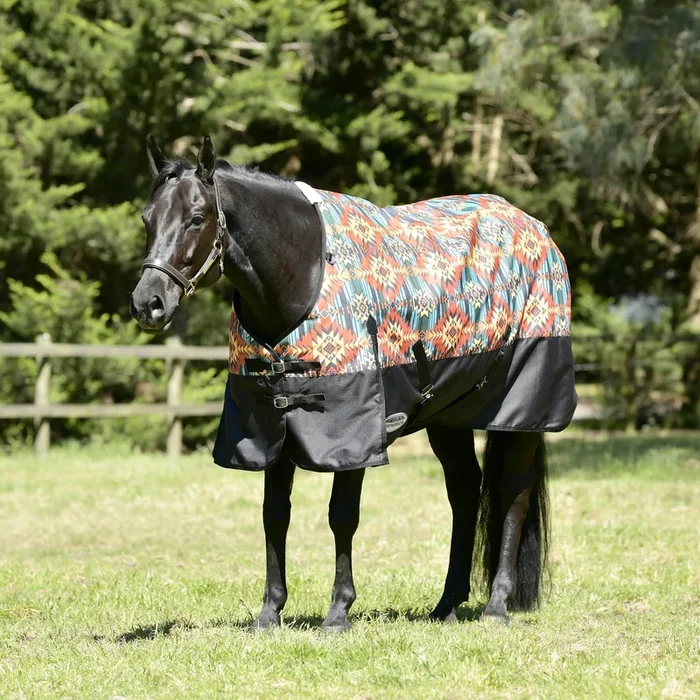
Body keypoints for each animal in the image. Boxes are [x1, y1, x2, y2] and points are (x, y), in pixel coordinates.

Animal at [130, 135, 576, 632]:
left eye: (196, 217)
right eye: (147, 219)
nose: (148, 303)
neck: (304, 275)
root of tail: (535, 227)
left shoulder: (352, 432)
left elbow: (342, 516)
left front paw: (339, 611)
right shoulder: (271, 423)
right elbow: (274, 516)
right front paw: (270, 612)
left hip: (522, 410)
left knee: (512, 494)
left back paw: (497, 605)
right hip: (447, 417)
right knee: (465, 492)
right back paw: (446, 604)